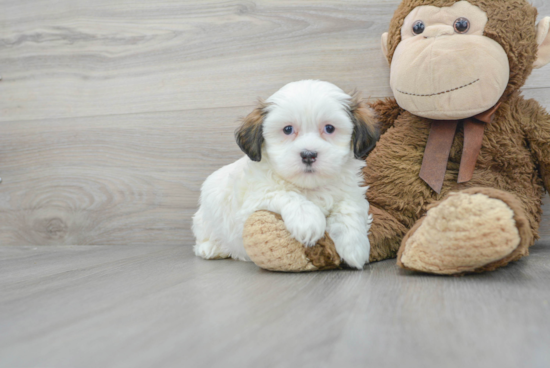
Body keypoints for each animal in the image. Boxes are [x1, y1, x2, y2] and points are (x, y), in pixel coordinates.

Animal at [193, 80, 380, 268]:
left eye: (329, 128)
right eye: (288, 129)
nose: (308, 155)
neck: (310, 187)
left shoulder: (352, 192)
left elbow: (350, 208)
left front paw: (354, 245)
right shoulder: (252, 202)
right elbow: (286, 194)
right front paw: (308, 219)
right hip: (206, 218)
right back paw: (211, 248)